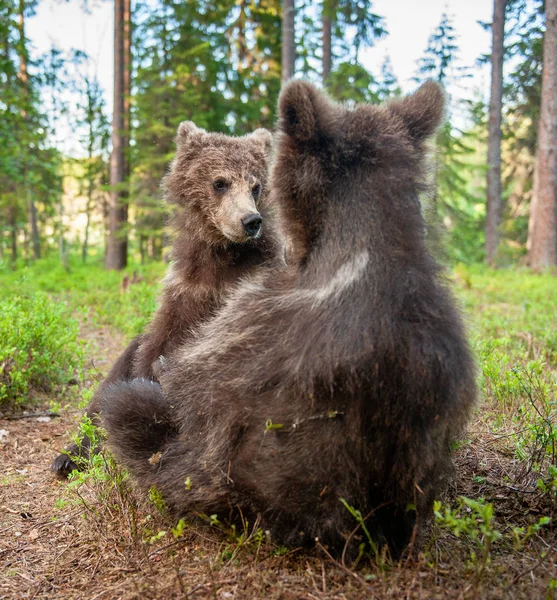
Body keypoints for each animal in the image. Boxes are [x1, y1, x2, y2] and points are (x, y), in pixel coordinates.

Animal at [99, 81, 474, 556]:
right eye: (220, 182)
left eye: (257, 186)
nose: (251, 221)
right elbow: (155, 340)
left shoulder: (244, 321)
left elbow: (176, 380)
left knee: (128, 408)